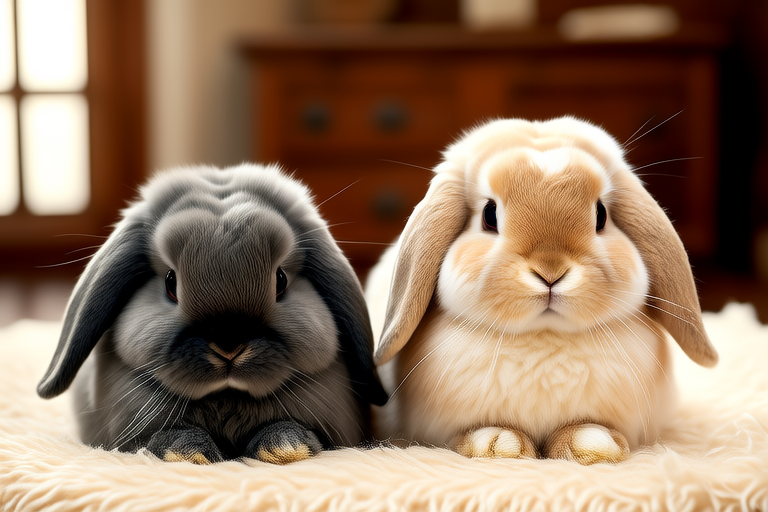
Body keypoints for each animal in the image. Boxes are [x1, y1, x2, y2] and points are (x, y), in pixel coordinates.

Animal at [37, 163, 387, 465]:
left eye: (281, 280)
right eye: (171, 283)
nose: (229, 344)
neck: (227, 398)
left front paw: (284, 447)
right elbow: (161, 438)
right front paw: (191, 453)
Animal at [365, 116, 718, 465]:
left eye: (601, 215)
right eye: (489, 215)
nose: (550, 272)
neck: (544, 336)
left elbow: (584, 427)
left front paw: (593, 445)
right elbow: (474, 433)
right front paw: (499, 446)